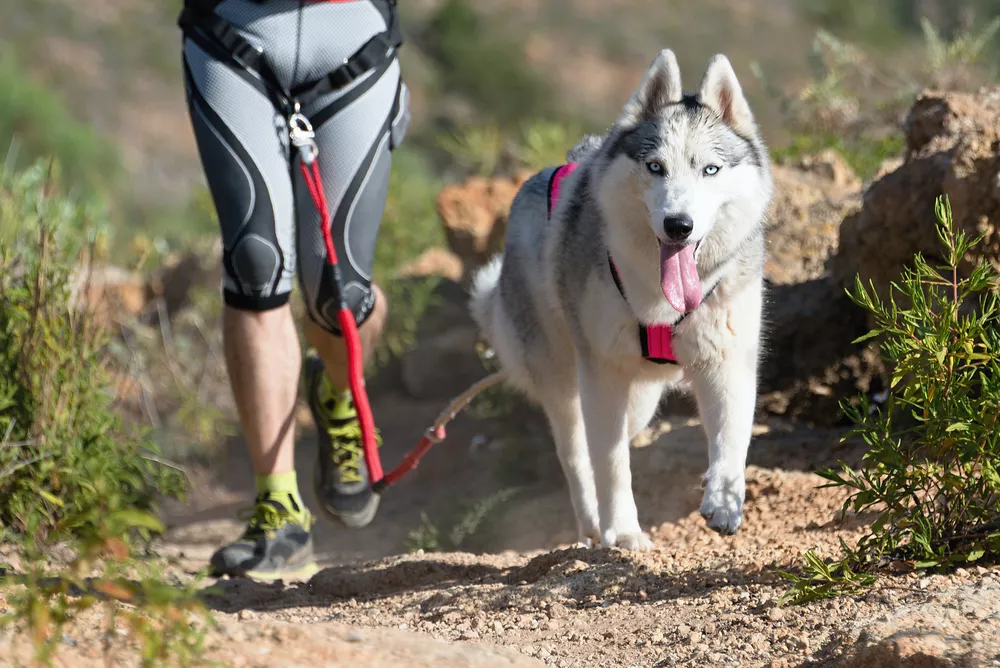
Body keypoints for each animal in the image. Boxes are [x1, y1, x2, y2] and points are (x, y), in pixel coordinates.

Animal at [468, 48, 772, 548]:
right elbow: (609, 465)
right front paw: (625, 533)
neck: (661, 303)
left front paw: (724, 502)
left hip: (641, 399)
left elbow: (731, 439)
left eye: (710, 169)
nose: (678, 225)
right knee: (577, 456)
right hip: (563, 381)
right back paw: (593, 527)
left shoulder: (726, 360)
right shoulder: (603, 374)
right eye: (655, 167)